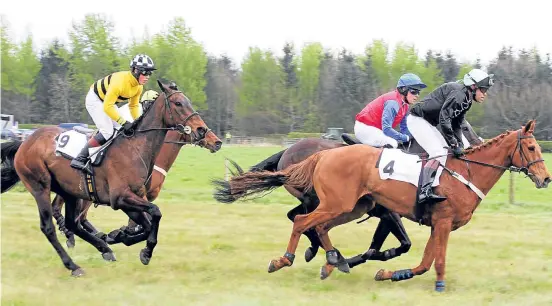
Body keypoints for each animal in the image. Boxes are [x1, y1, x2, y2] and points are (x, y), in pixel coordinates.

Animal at [2, 80, 222, 276]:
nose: (206, 133)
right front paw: (126, 240)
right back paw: (73, 265)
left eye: (188, 102)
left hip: (71, 191)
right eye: (178, 103)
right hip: (40, 187)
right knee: (49, 227)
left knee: (73, 222)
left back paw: (103, 248)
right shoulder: (121, 197)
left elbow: (147, 223)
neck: (135, 148)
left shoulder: (134, 198)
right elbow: (154, 214)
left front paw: (133, 244)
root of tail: (25, 142)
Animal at [211, 120, 548, 292]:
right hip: (335, 203)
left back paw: (332, 259)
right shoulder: (431, 220)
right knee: (301, 221)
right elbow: (431, 259)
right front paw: (439, 285)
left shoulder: (437, 224)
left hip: (349, 207)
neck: (464, 171)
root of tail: (320, 154)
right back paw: (287, 259)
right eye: (532, 147)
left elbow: (422, 260)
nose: (546, 178)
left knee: (315, 225)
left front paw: (390, 274)